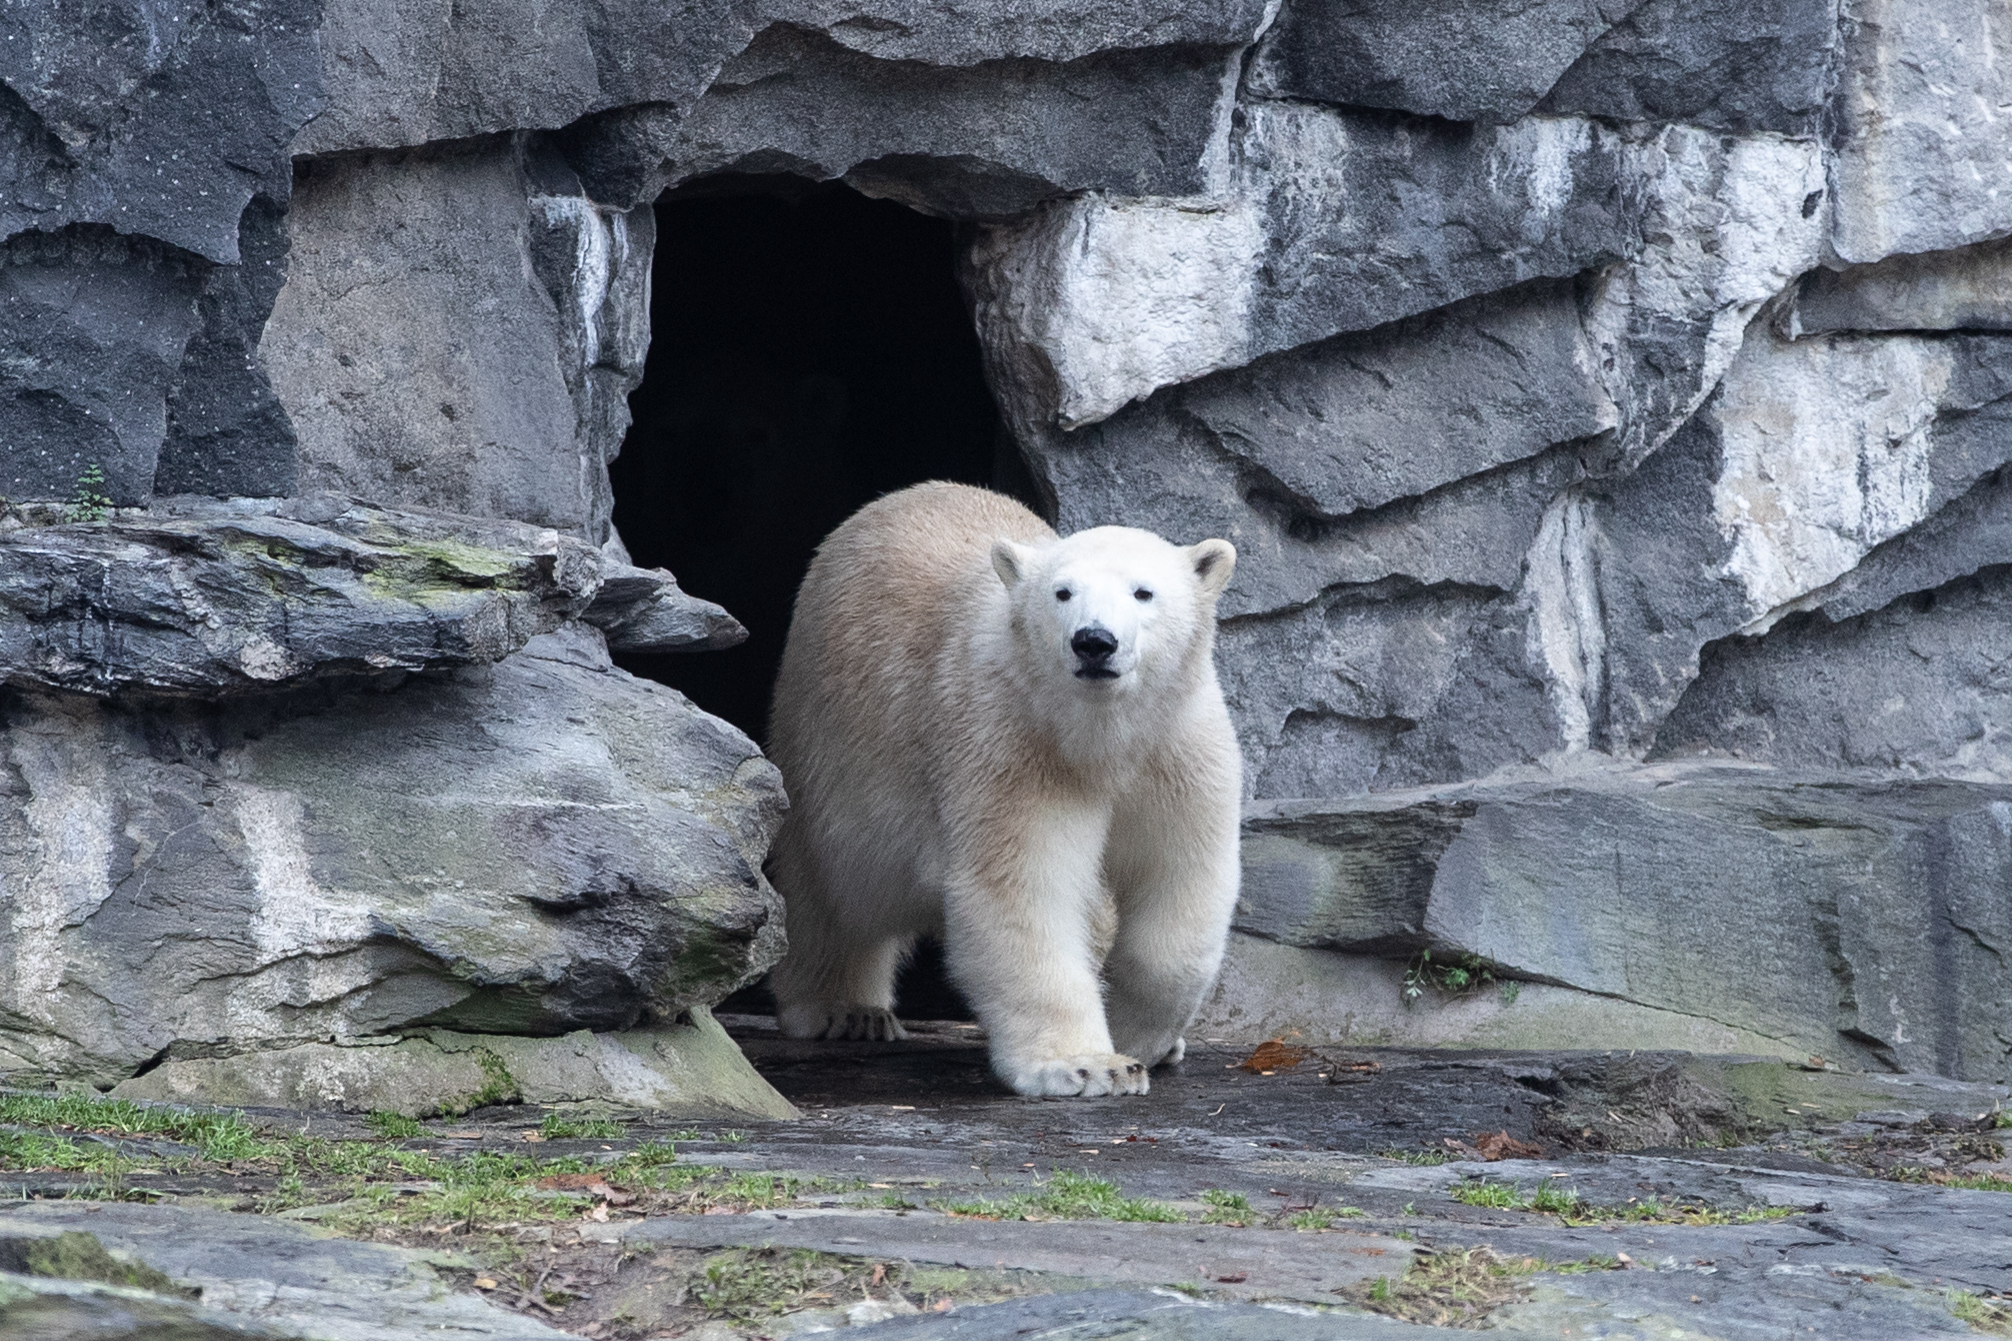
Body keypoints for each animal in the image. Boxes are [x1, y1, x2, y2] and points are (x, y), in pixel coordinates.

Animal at [764, 482, 1239, 1101]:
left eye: (1144, 592)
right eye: (1063, 592)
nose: (1094, 642)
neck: (1099, 736)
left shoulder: (1177, 750)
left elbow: (1181, 880)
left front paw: (1142, 1040)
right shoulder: (1012, 745)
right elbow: (1023, 886)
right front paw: (1089, 1065)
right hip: (834, 744)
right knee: (833, 879)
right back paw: (843, 1009)